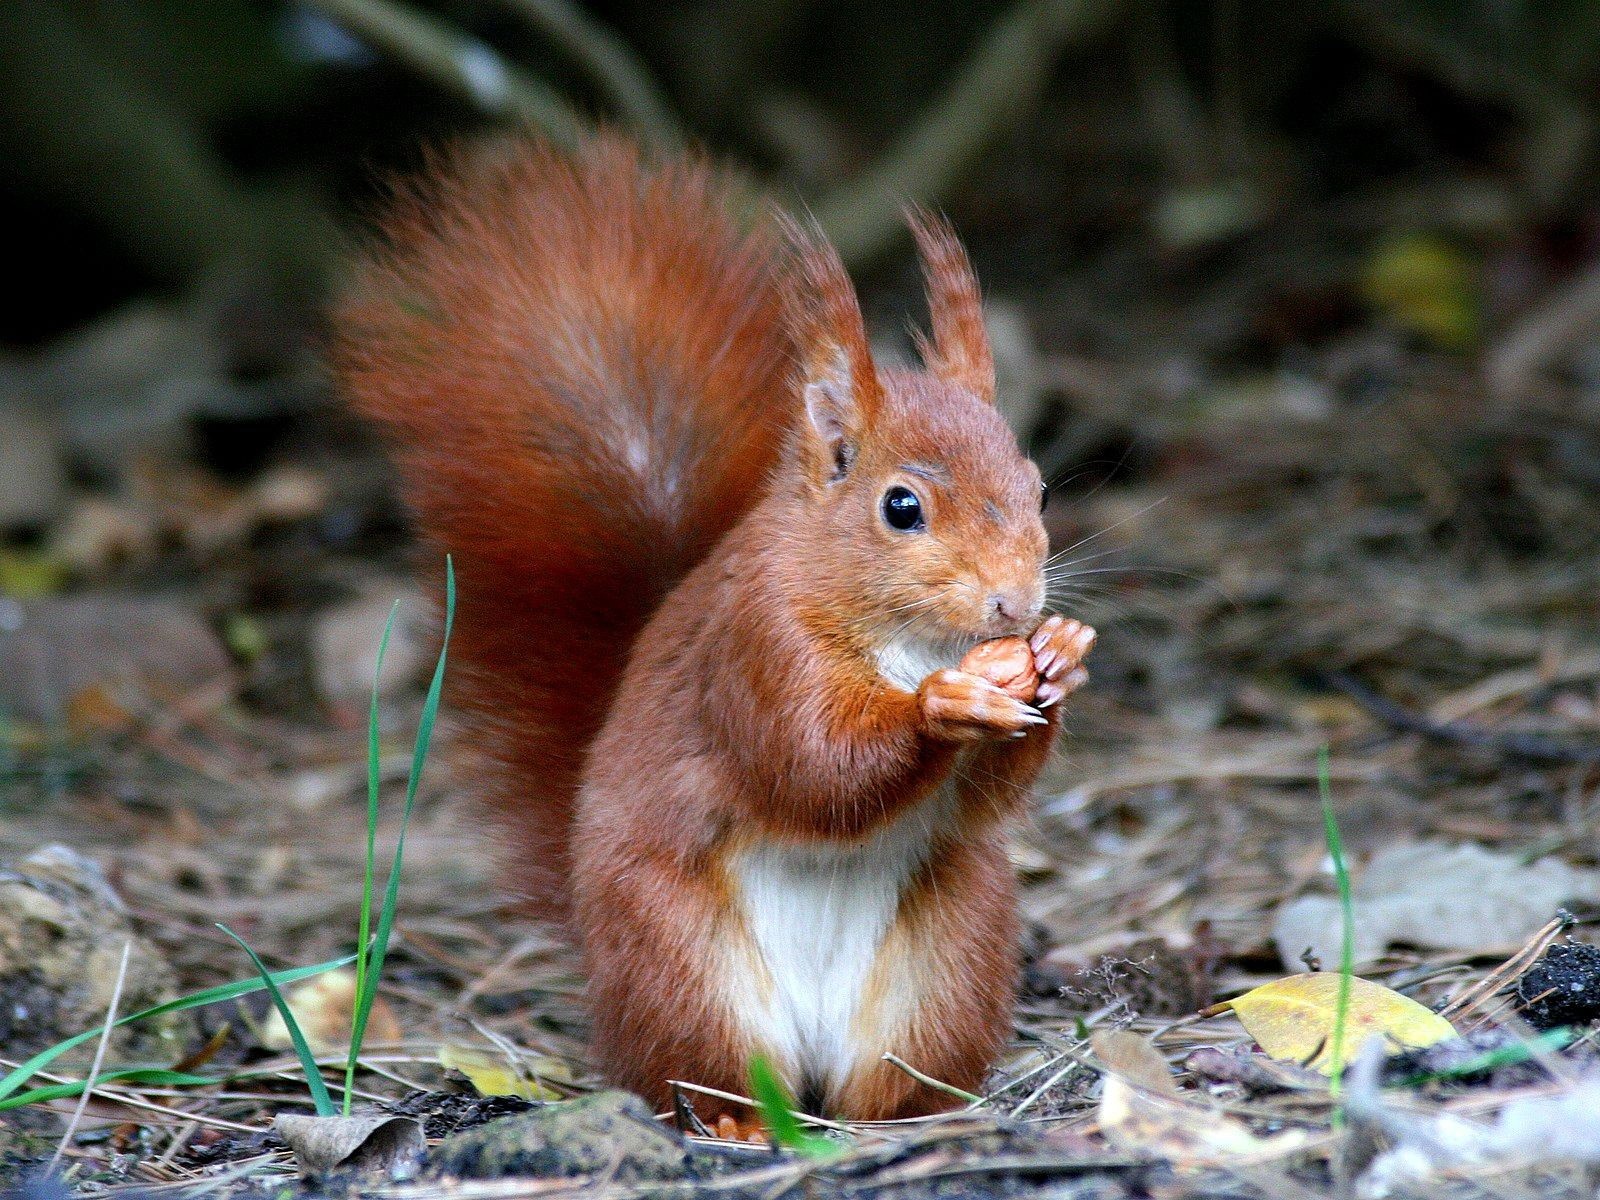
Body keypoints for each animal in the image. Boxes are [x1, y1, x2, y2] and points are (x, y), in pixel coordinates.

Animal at [337, 136, 1096, 1127]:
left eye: (1038, 488)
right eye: (901, 508)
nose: (1014, 604)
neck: (907, 639)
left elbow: (979, 805)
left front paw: (1061, 655)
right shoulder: (754, 649)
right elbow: (813, 764)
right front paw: (945, 704)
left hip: (950, 952)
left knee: (889, 1075)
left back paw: (909, 1115)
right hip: (678, 960)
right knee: (697, 1074)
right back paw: (737, 1121)